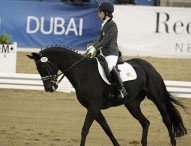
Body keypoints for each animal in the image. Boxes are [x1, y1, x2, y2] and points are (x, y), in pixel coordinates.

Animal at [27, 46, 187, 146]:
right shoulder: (94, 108)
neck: (83, 72)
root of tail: (149, 66)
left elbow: (85, 129)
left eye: (43, 66)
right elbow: (107, 129)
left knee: (166, 119)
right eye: (37, 68)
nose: (49, 88)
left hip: (156, 97)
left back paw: (173, 142)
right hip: (132, 104)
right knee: (145, 122)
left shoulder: (93, 107)